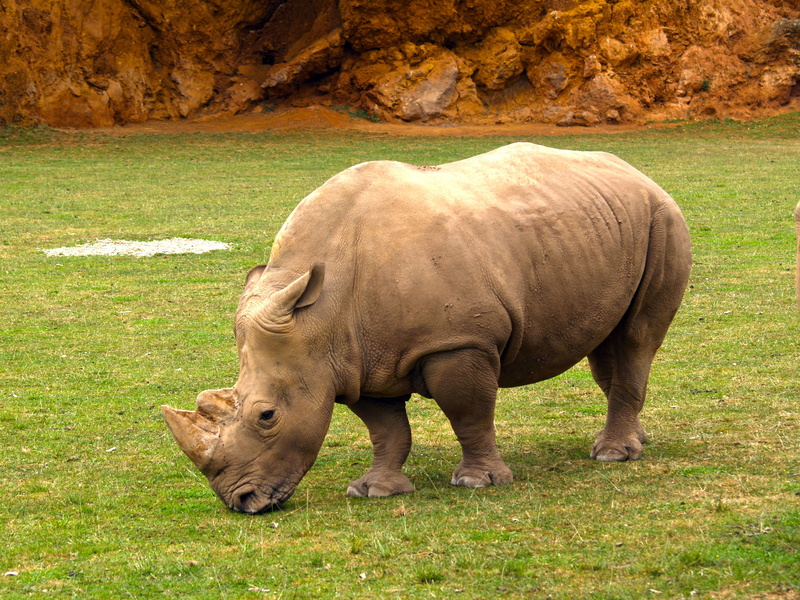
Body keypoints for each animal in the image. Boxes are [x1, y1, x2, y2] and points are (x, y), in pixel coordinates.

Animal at [162, 143, 692, 514]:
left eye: (267, 416)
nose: (240, 502)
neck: (319, 315)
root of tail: (637, 173)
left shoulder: (458, 342)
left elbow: (468, 412)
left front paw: (479, 483)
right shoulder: (353, 360)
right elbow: (386, 429)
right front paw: (374, 491)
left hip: (663, 219)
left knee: (636, 339)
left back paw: (613, 457)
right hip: (606, 230)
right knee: (609, 346)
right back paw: (635, 441)